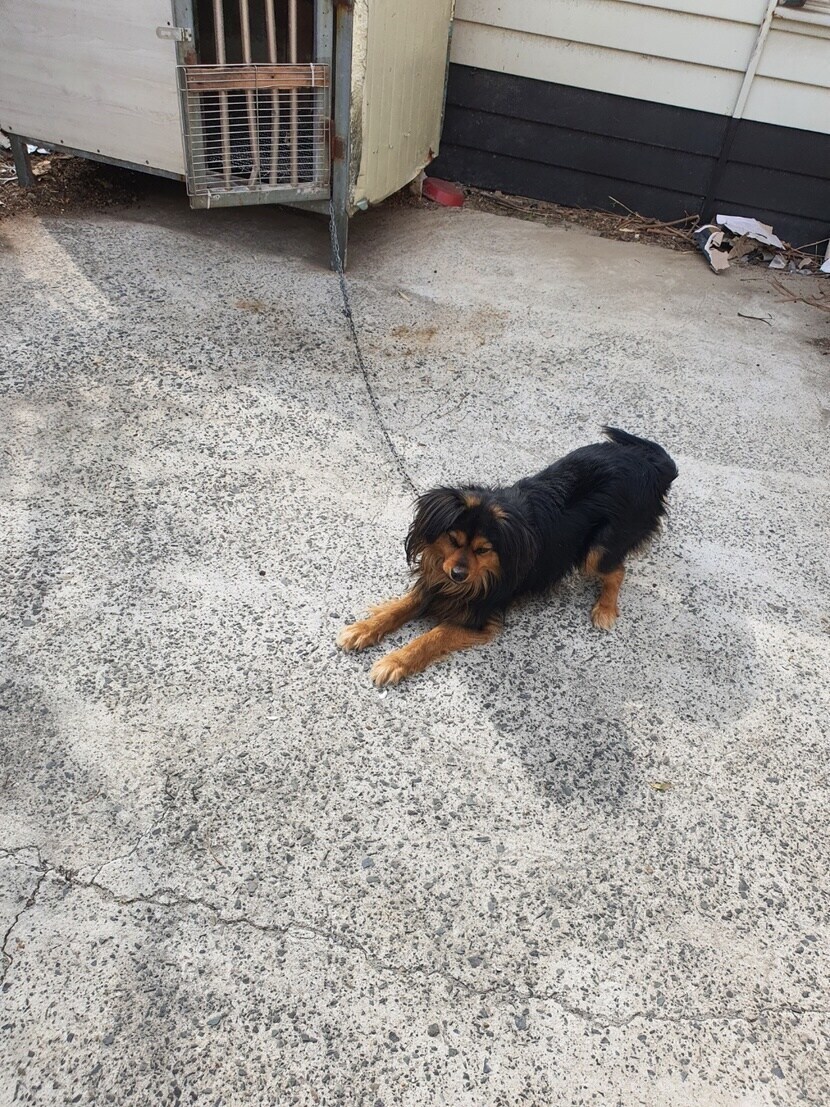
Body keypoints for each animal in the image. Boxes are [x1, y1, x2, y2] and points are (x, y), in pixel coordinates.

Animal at [337, 427, 678, 686]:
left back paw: (605, 610)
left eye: (483, 550)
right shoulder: (437, 581)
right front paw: (362, 629)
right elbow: (399, 607)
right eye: (453, 540)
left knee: (617, 571)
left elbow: (431, 636)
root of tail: (650, 466)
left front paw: (395, 661)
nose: (458, 574)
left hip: (597, 550)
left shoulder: (477, 615)